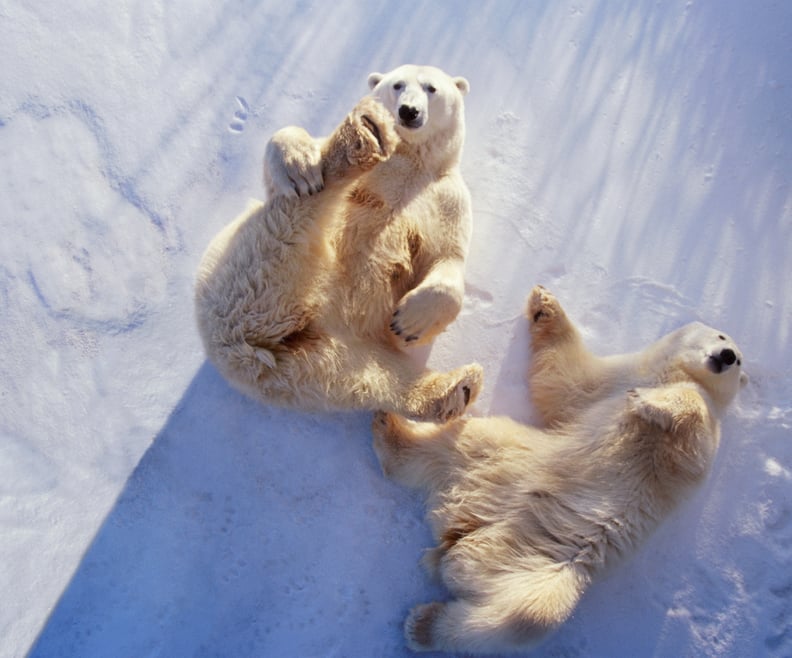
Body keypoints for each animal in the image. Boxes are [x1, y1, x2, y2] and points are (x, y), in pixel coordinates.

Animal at [196, 64, 482, 418]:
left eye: (432, 88)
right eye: (397, 85)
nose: (408, 111)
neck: (410, 159)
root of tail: (245, 356)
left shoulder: (447, 198)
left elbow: (448, 257)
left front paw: (409, 322)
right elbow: (282, 160)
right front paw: (298, 164)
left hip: (330, 359)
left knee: (378, 377)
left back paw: (457, 388)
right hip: (245, 270)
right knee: (293, 217)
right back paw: (364, 135)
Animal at [374, 284, 744, 652]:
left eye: (738, 358)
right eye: (721, 335)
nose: (727, 355)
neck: (668, 374)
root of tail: (459, 537)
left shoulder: (697, 448)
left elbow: (692, 423)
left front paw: (646, 402)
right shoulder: (613, 381)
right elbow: (567, 382)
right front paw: (544, 303)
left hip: (552, 567)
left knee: (525, 618)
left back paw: (422, 624)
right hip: (505, 460)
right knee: (453, 443)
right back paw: (390, 428)